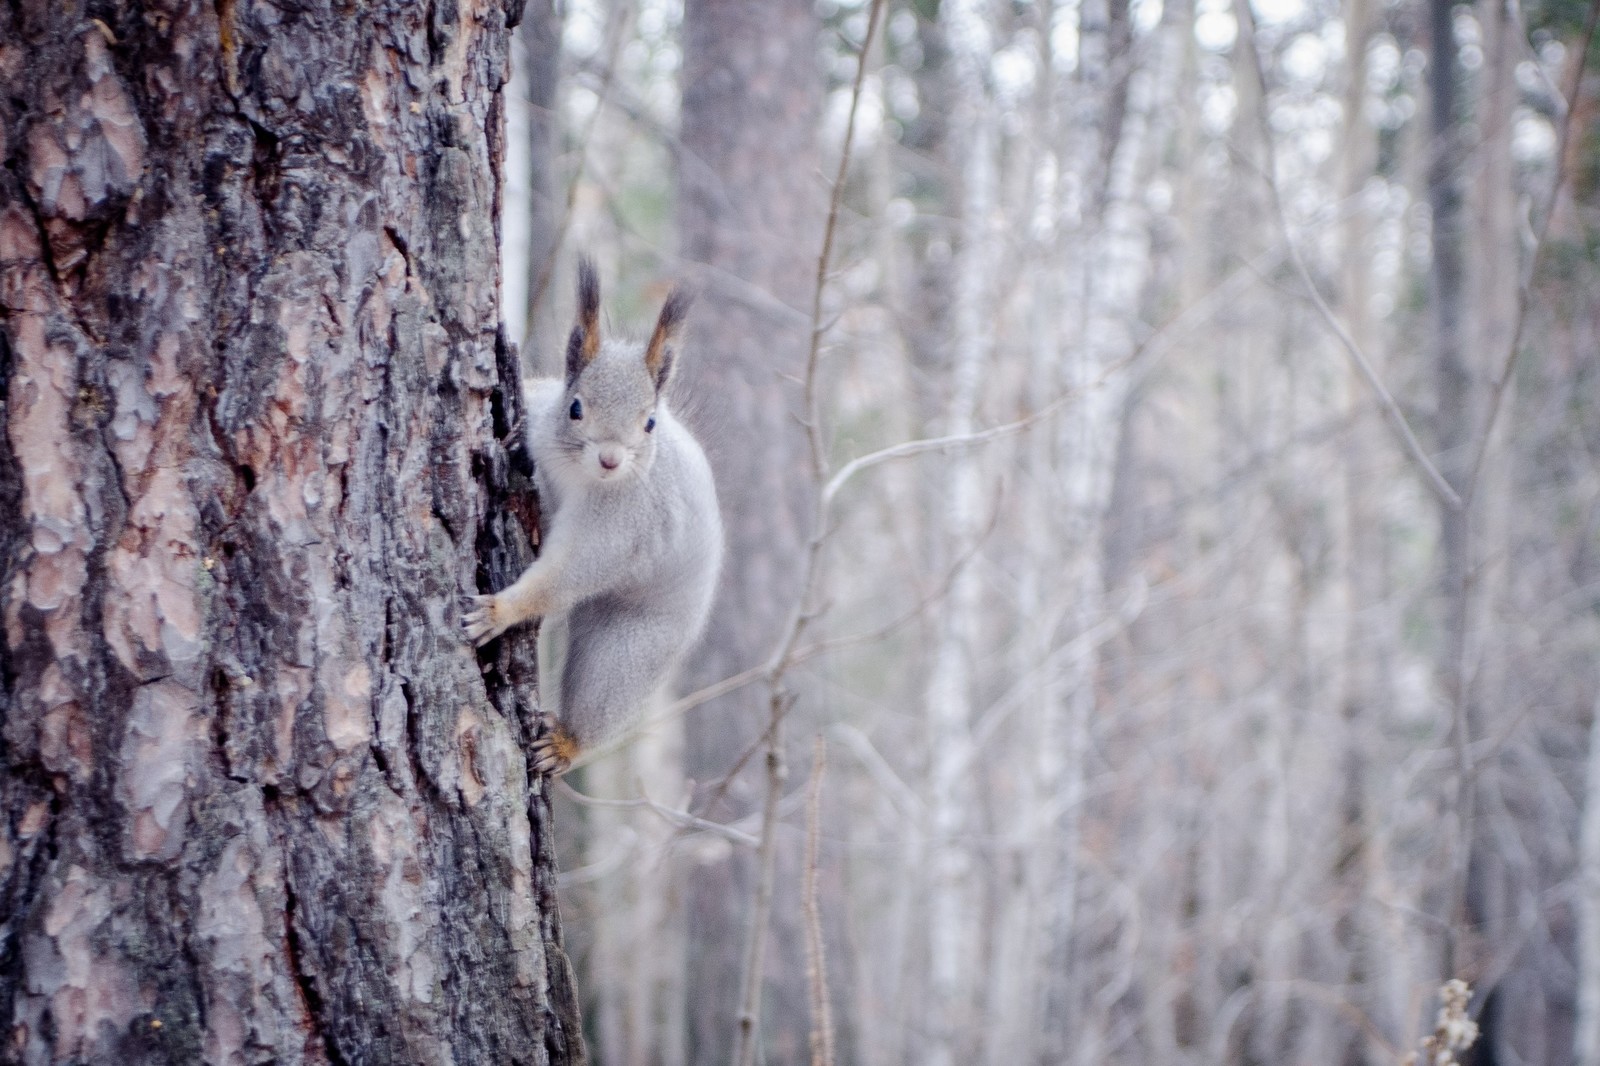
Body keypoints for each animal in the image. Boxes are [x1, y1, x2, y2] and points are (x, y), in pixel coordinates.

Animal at [457, 257, 720, 771]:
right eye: (575, 408)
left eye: (649, 423)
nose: (611, 460)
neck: (577, 475)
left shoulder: (625, 525)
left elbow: (569, 572)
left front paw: (501, 610)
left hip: (635, 642)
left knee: (607, 690)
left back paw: (565, 743)